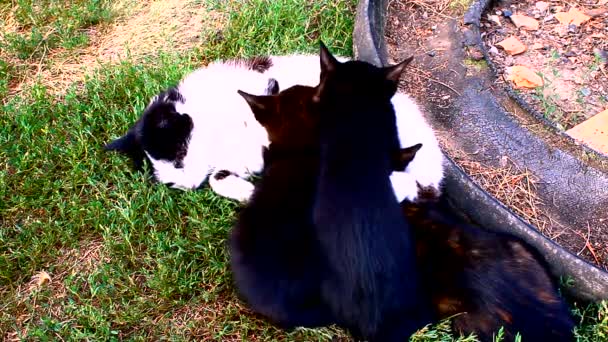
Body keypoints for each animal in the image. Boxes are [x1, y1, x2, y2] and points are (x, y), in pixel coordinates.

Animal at [102, 54, 440, 202]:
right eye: (169, 181)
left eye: (178, 158)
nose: (184, 185)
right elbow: (218, 177)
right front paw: (247, 189)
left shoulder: (267, 91)